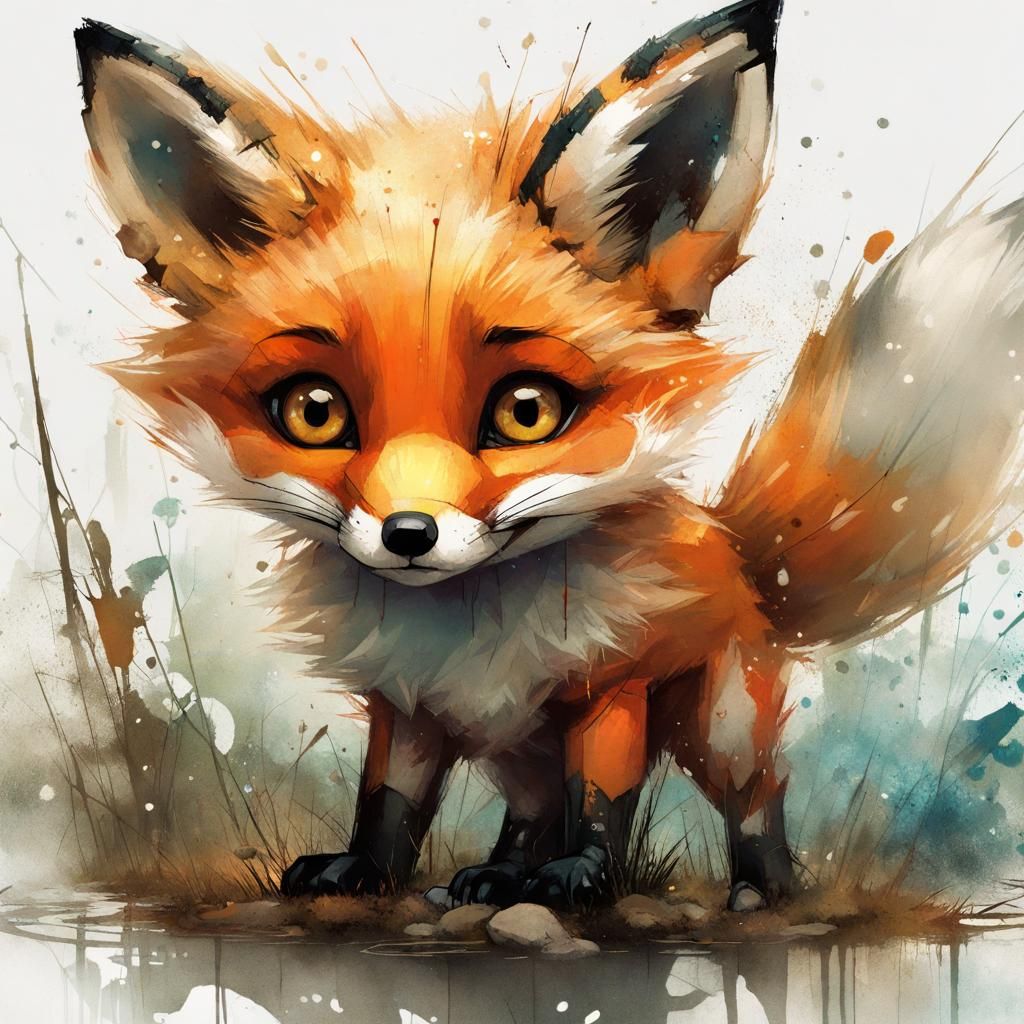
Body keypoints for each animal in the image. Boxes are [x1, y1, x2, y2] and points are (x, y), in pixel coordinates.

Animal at [72, 0, 1024, 911]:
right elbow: (389, 804)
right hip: (518, 748)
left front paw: (580, 880)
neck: (474, 634)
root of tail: (738, 556)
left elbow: (602, 805)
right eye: (314, 411)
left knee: (751, 797)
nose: (408, 534)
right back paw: (492, 879)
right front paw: (365, 871)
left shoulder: (612, 692)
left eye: (526, 411)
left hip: (713, 723)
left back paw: (759, 886)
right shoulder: (410, 706)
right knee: (526, 816)